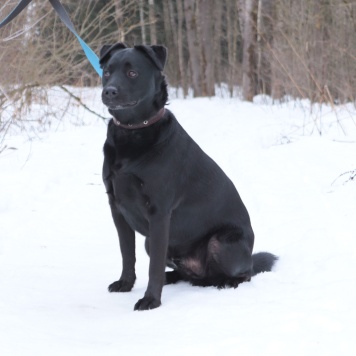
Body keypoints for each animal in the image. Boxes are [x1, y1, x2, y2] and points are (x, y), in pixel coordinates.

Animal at [99, 43, 276, 310]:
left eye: (132, 73)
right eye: (107, 72)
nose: (109, 91)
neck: (132, 132)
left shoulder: (159, 212)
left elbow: (152, 267)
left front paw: (151, 300)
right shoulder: (117, 208)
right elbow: (127, 254)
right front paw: (126, 284)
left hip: (220, 241)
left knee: (243, 275)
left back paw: (225, 282)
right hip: (151, 242)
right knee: (181, 271)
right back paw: (173, 277)